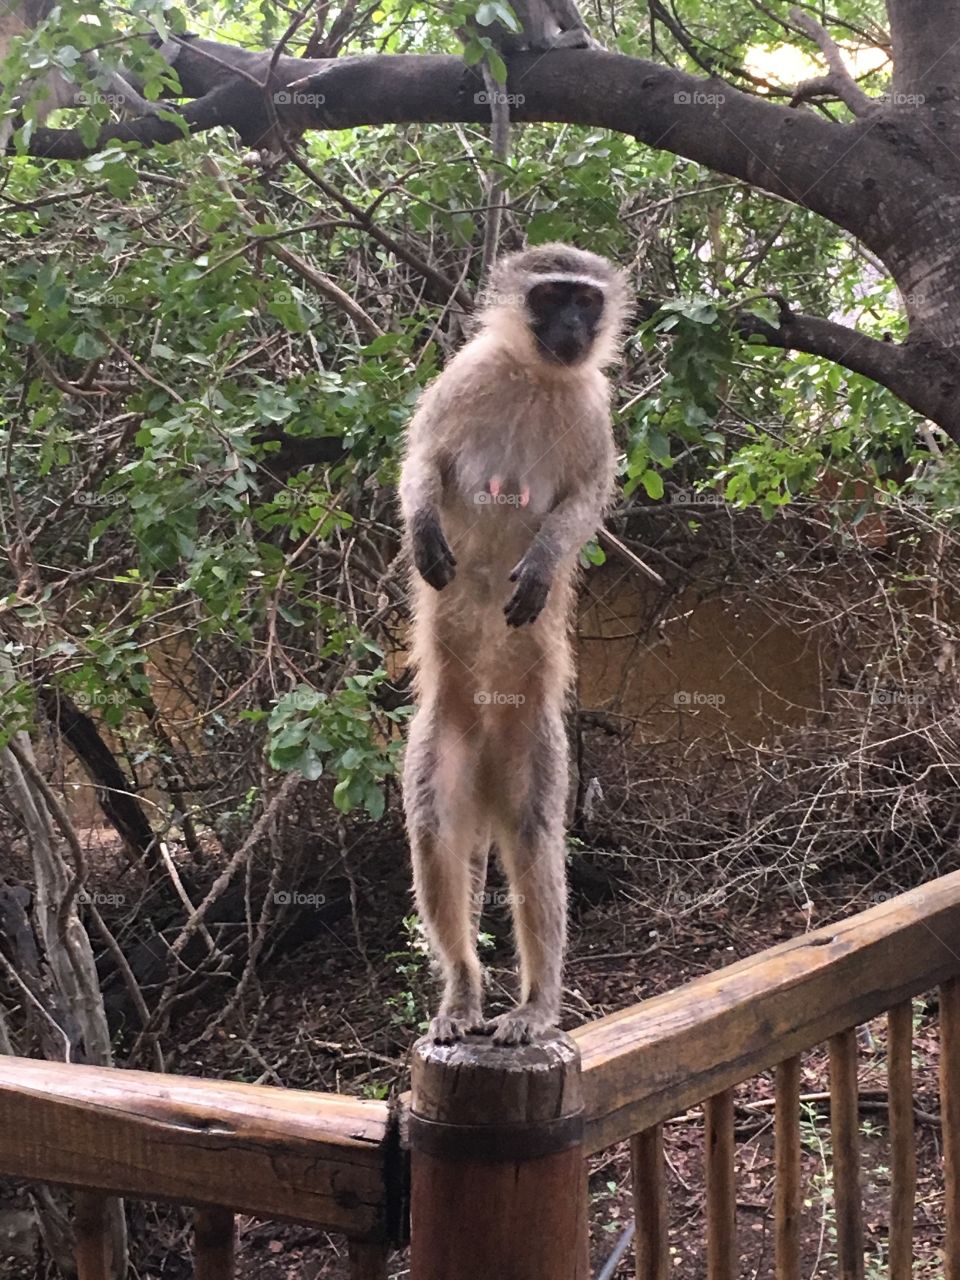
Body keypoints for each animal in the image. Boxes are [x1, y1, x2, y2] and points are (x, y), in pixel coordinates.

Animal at [399, 244, 632, 1044]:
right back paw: (463, 994)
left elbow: (584, 503)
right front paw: (423, 525)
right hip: (444, 743)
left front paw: (543, 560)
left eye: (586, 301)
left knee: (535, 847)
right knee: (436, 836)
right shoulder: (465, 374)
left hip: (535, 746)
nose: (572, 328)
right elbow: (422, 459)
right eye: (552, 296)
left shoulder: (592, 407)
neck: (536, 375)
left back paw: (536, 1005)